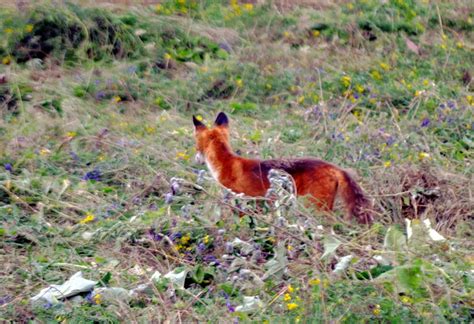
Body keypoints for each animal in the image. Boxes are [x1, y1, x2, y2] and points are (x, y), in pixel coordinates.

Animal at [193, 112, 374, 224]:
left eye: (196, 146)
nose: (196, 160)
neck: (227, 163)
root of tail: (335, 167)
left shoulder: (241, 200)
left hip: (315, 207)